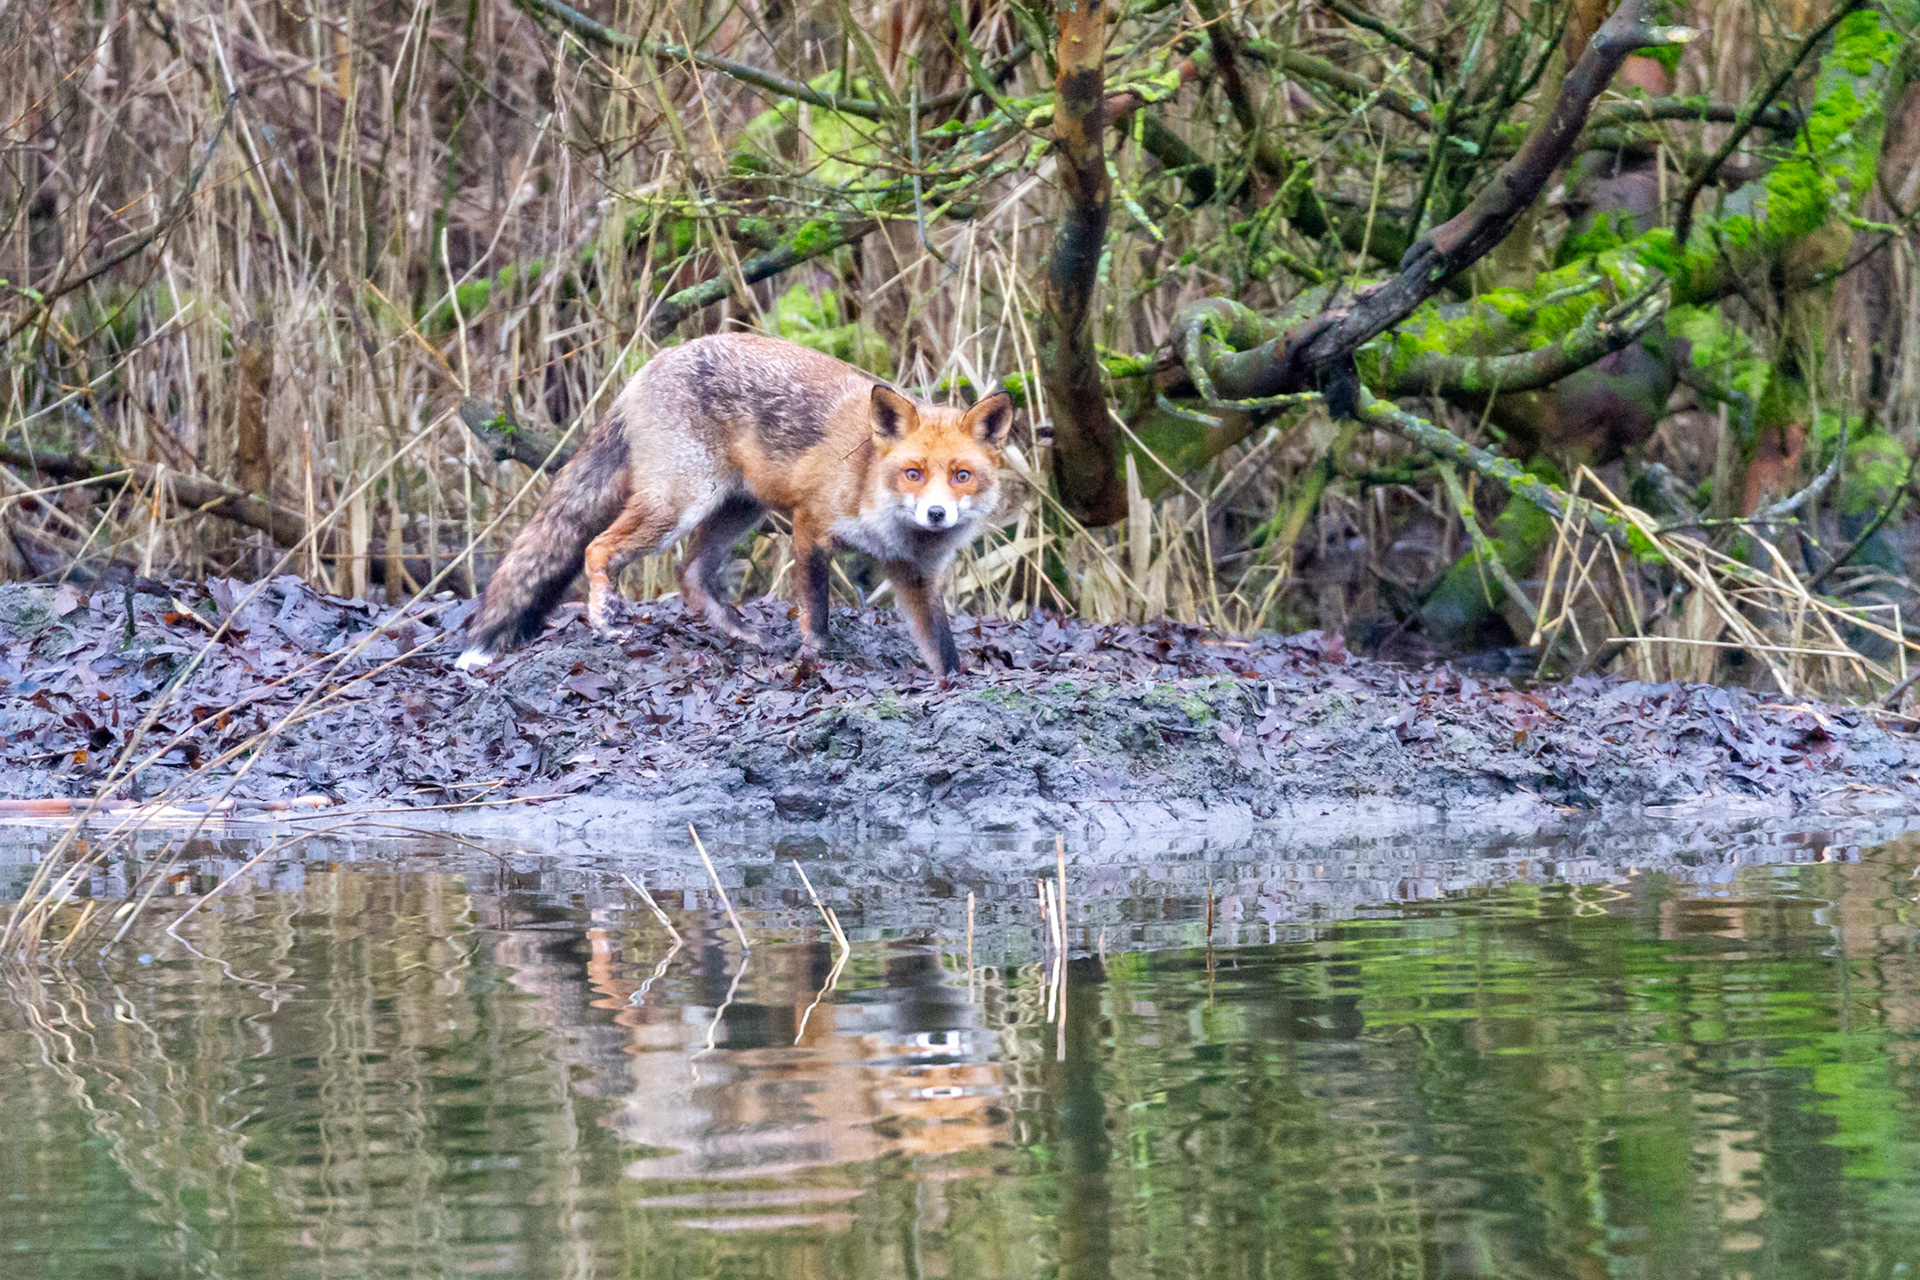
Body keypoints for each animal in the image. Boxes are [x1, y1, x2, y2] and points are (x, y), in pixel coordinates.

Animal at [456, 333, 1013, 679]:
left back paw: (741, 634)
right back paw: (606, 621)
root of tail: (652, 364)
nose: (937, 515)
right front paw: (814, 656)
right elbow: (816, 610)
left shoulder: (915, 574)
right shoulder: (810, 526)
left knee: (689, 575)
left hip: (737, 509)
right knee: (598, 547)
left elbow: (941, 645)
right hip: (681, 503)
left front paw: (954, 683)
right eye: (913, 473)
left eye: (961, 476)